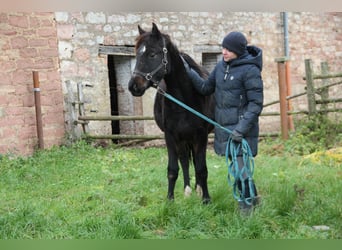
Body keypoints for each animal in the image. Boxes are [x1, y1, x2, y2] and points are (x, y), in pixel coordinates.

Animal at [127, 23, 214, 203]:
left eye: (152, 54)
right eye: (137, 54)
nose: (134, 86)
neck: (185, 98)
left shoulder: (201, 135)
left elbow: (202, 168)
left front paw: (206, 199)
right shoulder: (170, 135)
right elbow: (173, 169)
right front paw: (170, 199)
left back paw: (198, 189)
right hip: (182, 139)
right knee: (185, 161)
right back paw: (188, 190)